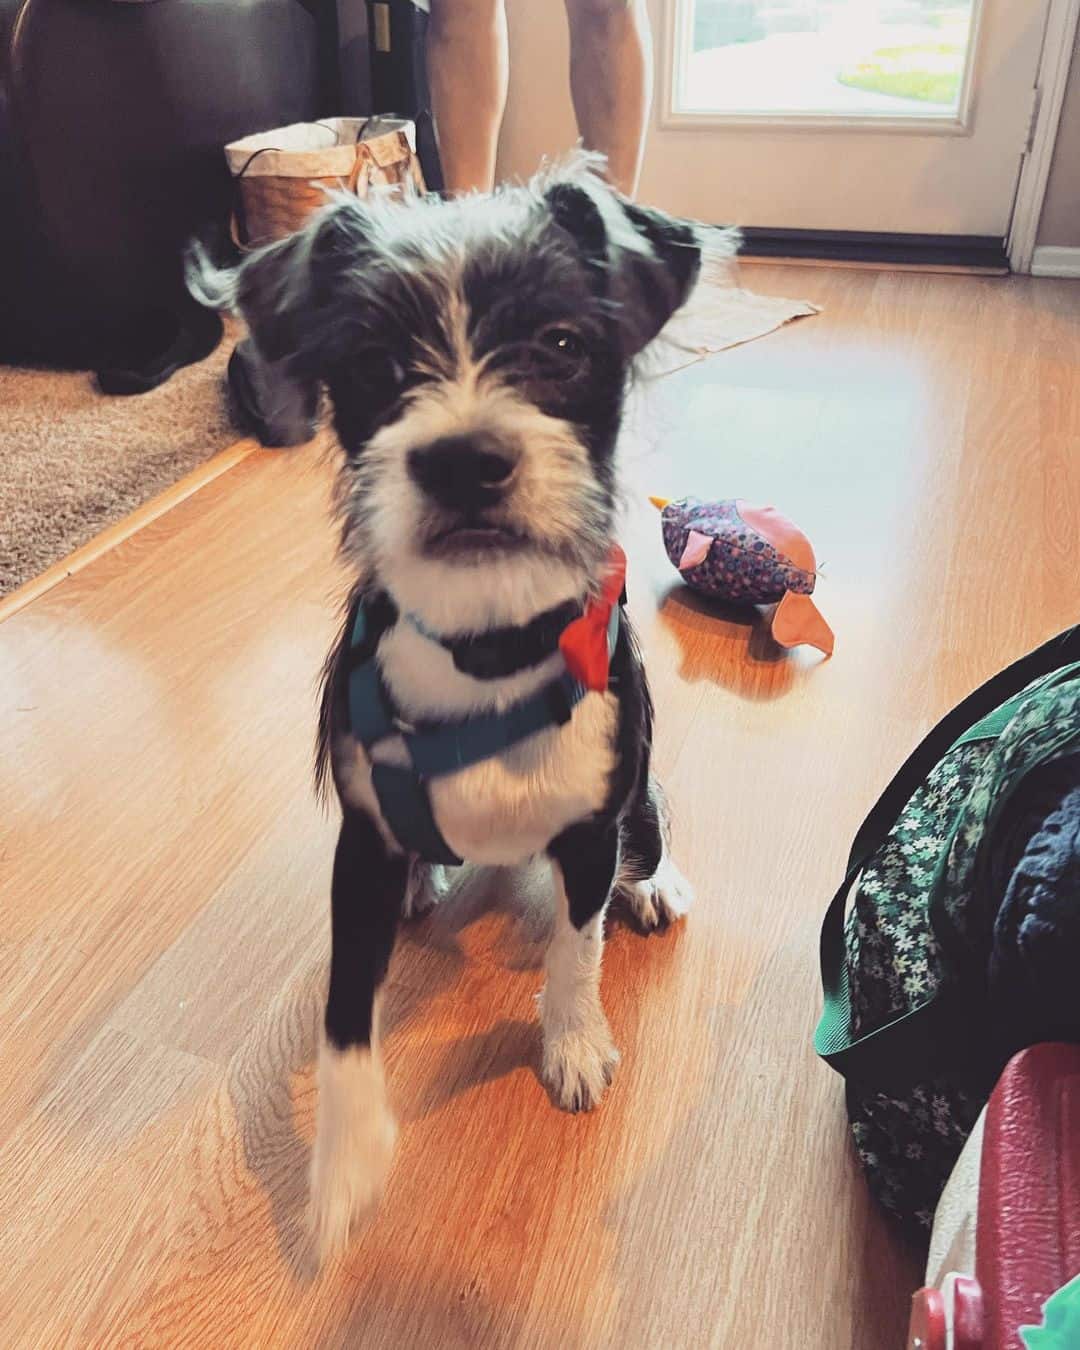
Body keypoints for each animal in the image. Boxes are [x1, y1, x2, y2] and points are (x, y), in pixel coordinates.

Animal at [191, 155, 734, 1252]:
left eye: (561, 344)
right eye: (372, 362)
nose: (463, 458)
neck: (486, 651)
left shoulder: (590, 834)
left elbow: (575, 947)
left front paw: (573, 1045)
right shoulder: (357, 845)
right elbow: (343, 1012)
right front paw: (345, 1162)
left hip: (637, 809)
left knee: (649, 836)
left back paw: (653, 887)